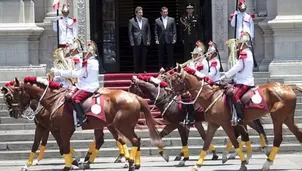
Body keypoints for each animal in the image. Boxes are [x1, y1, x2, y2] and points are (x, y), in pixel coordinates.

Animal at [3, 77, 164, 171]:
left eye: (11, 96)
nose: (13, 113)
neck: (53, 100)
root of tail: (135, 97)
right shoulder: (47, 127)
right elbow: (38, 145)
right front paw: (27, 164)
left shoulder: (62, 129)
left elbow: (63, 147)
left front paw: (70, 164)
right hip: (116, 125)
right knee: (119, 140)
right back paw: (132, 162)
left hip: (121, 125)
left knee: (131, 140)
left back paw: (129, 162)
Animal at [169, 64, 302, 171]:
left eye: (174, 79)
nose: (168, 91)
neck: (211, 96)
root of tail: (289, 87)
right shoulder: (213, 124)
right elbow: (206, 143)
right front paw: (197, 165)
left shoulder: (225, 124)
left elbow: (234, 141)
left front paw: (242, 163)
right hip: (287, 118)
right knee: (298, 134)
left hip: (277, 117)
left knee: (277, 138)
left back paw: (267, 163)